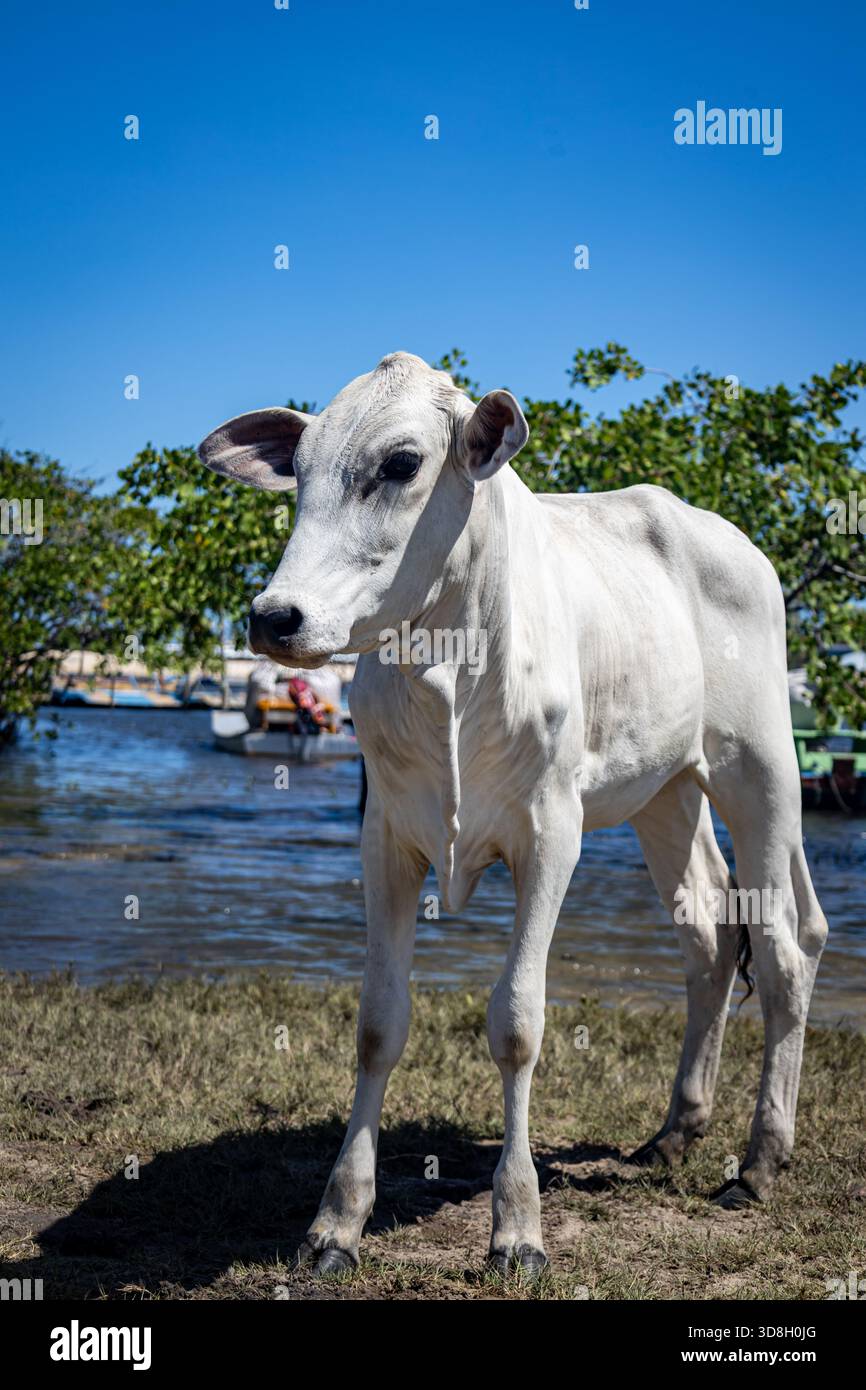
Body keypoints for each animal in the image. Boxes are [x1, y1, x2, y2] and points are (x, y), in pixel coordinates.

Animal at [198, 351, 828, 1277]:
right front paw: (337, 1222)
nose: (275, 617)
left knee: (784, 949)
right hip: (666, 792)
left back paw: (759, 1163)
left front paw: (518, 1225)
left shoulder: (550, 834)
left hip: (760, 771)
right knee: (711, 933)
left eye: (402, 464)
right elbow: (378, 1024)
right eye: (300, 470)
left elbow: (518, 1024)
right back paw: (675, 1133)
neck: (448, 664)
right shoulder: (386, 836)